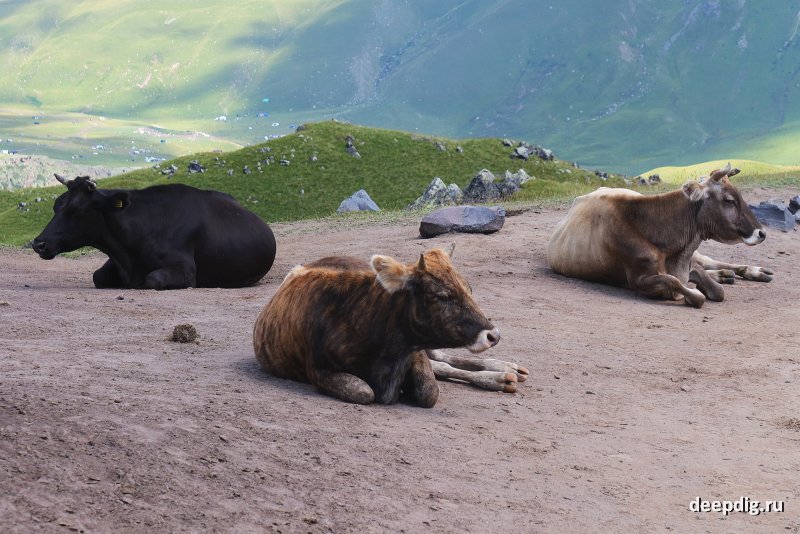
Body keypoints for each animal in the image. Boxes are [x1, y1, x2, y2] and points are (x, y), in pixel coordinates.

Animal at [32, 174, 276, 289]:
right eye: (56, 205)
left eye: (77, 210)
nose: (38, 243)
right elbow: (97, 276)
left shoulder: (186, 270)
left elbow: (152, 279)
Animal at [252, 246, 520, 406]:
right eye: (441, 295)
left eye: (469, 289)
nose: (493, 335)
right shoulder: (318, 370)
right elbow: (363, 391)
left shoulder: (414, 350)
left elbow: (429, 390)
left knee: (442, 359)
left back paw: (505, 369)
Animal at [547, 163, 772, 308]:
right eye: (729, 200)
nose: (761, 233)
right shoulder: (639, 280)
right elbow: (680, 285)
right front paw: (692, 292)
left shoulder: (688, 262)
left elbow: (715, 288)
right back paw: (727, 275)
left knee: (710, 262)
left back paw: (752, 271)